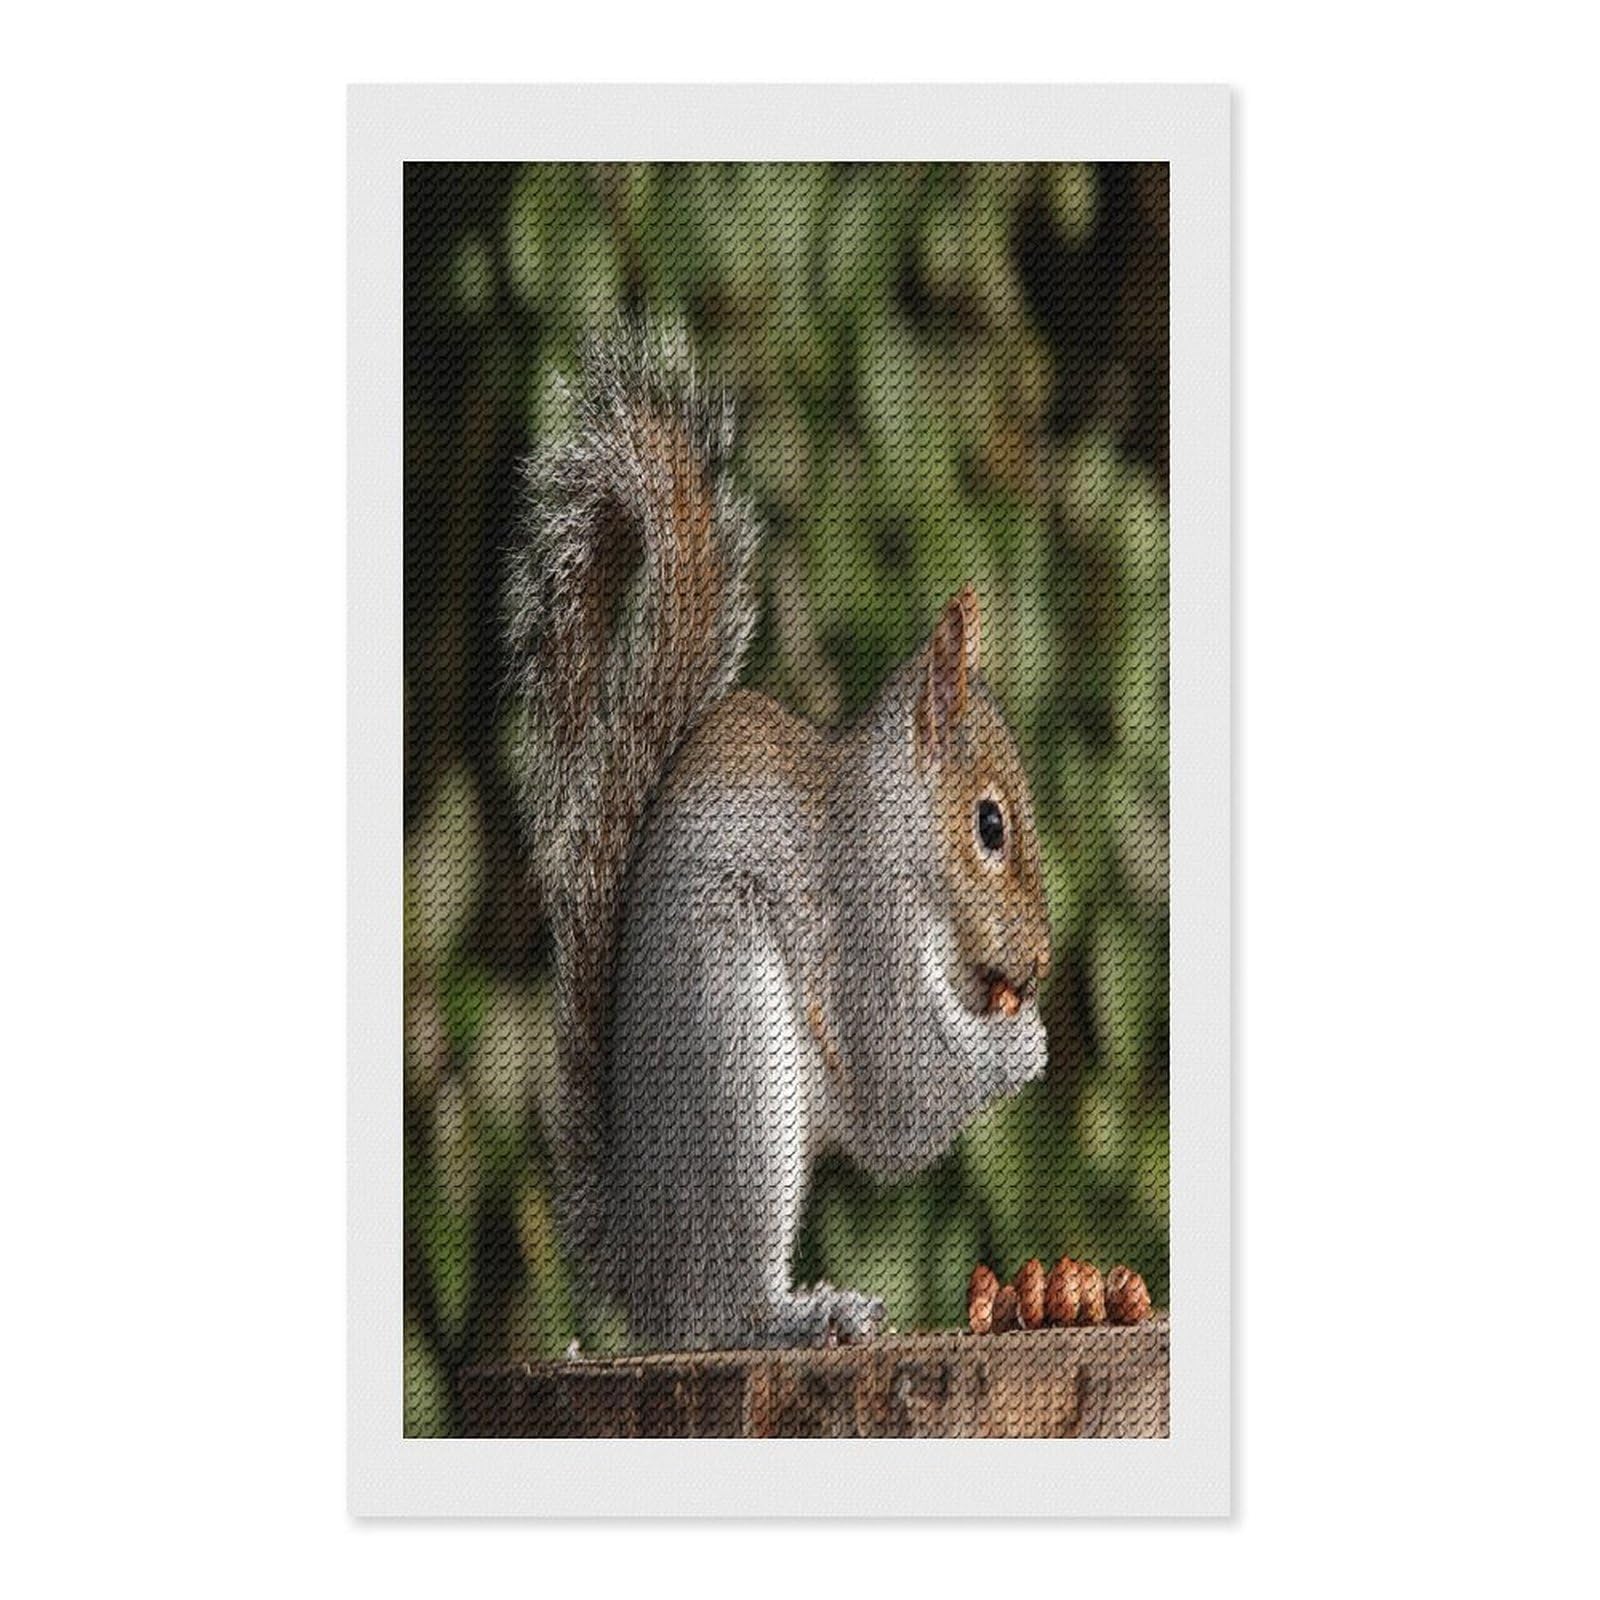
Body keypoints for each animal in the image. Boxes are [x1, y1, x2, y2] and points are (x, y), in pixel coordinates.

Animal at [506, 328, 1052, 1349]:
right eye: (989, 825)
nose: (1038, 961)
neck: (896, 835)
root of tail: (636, 1266)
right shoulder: (865, 933)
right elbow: (898, 1096)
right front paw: (1021, 1046)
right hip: (738, 1055)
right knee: (718, 1311)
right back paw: (800, 1315)